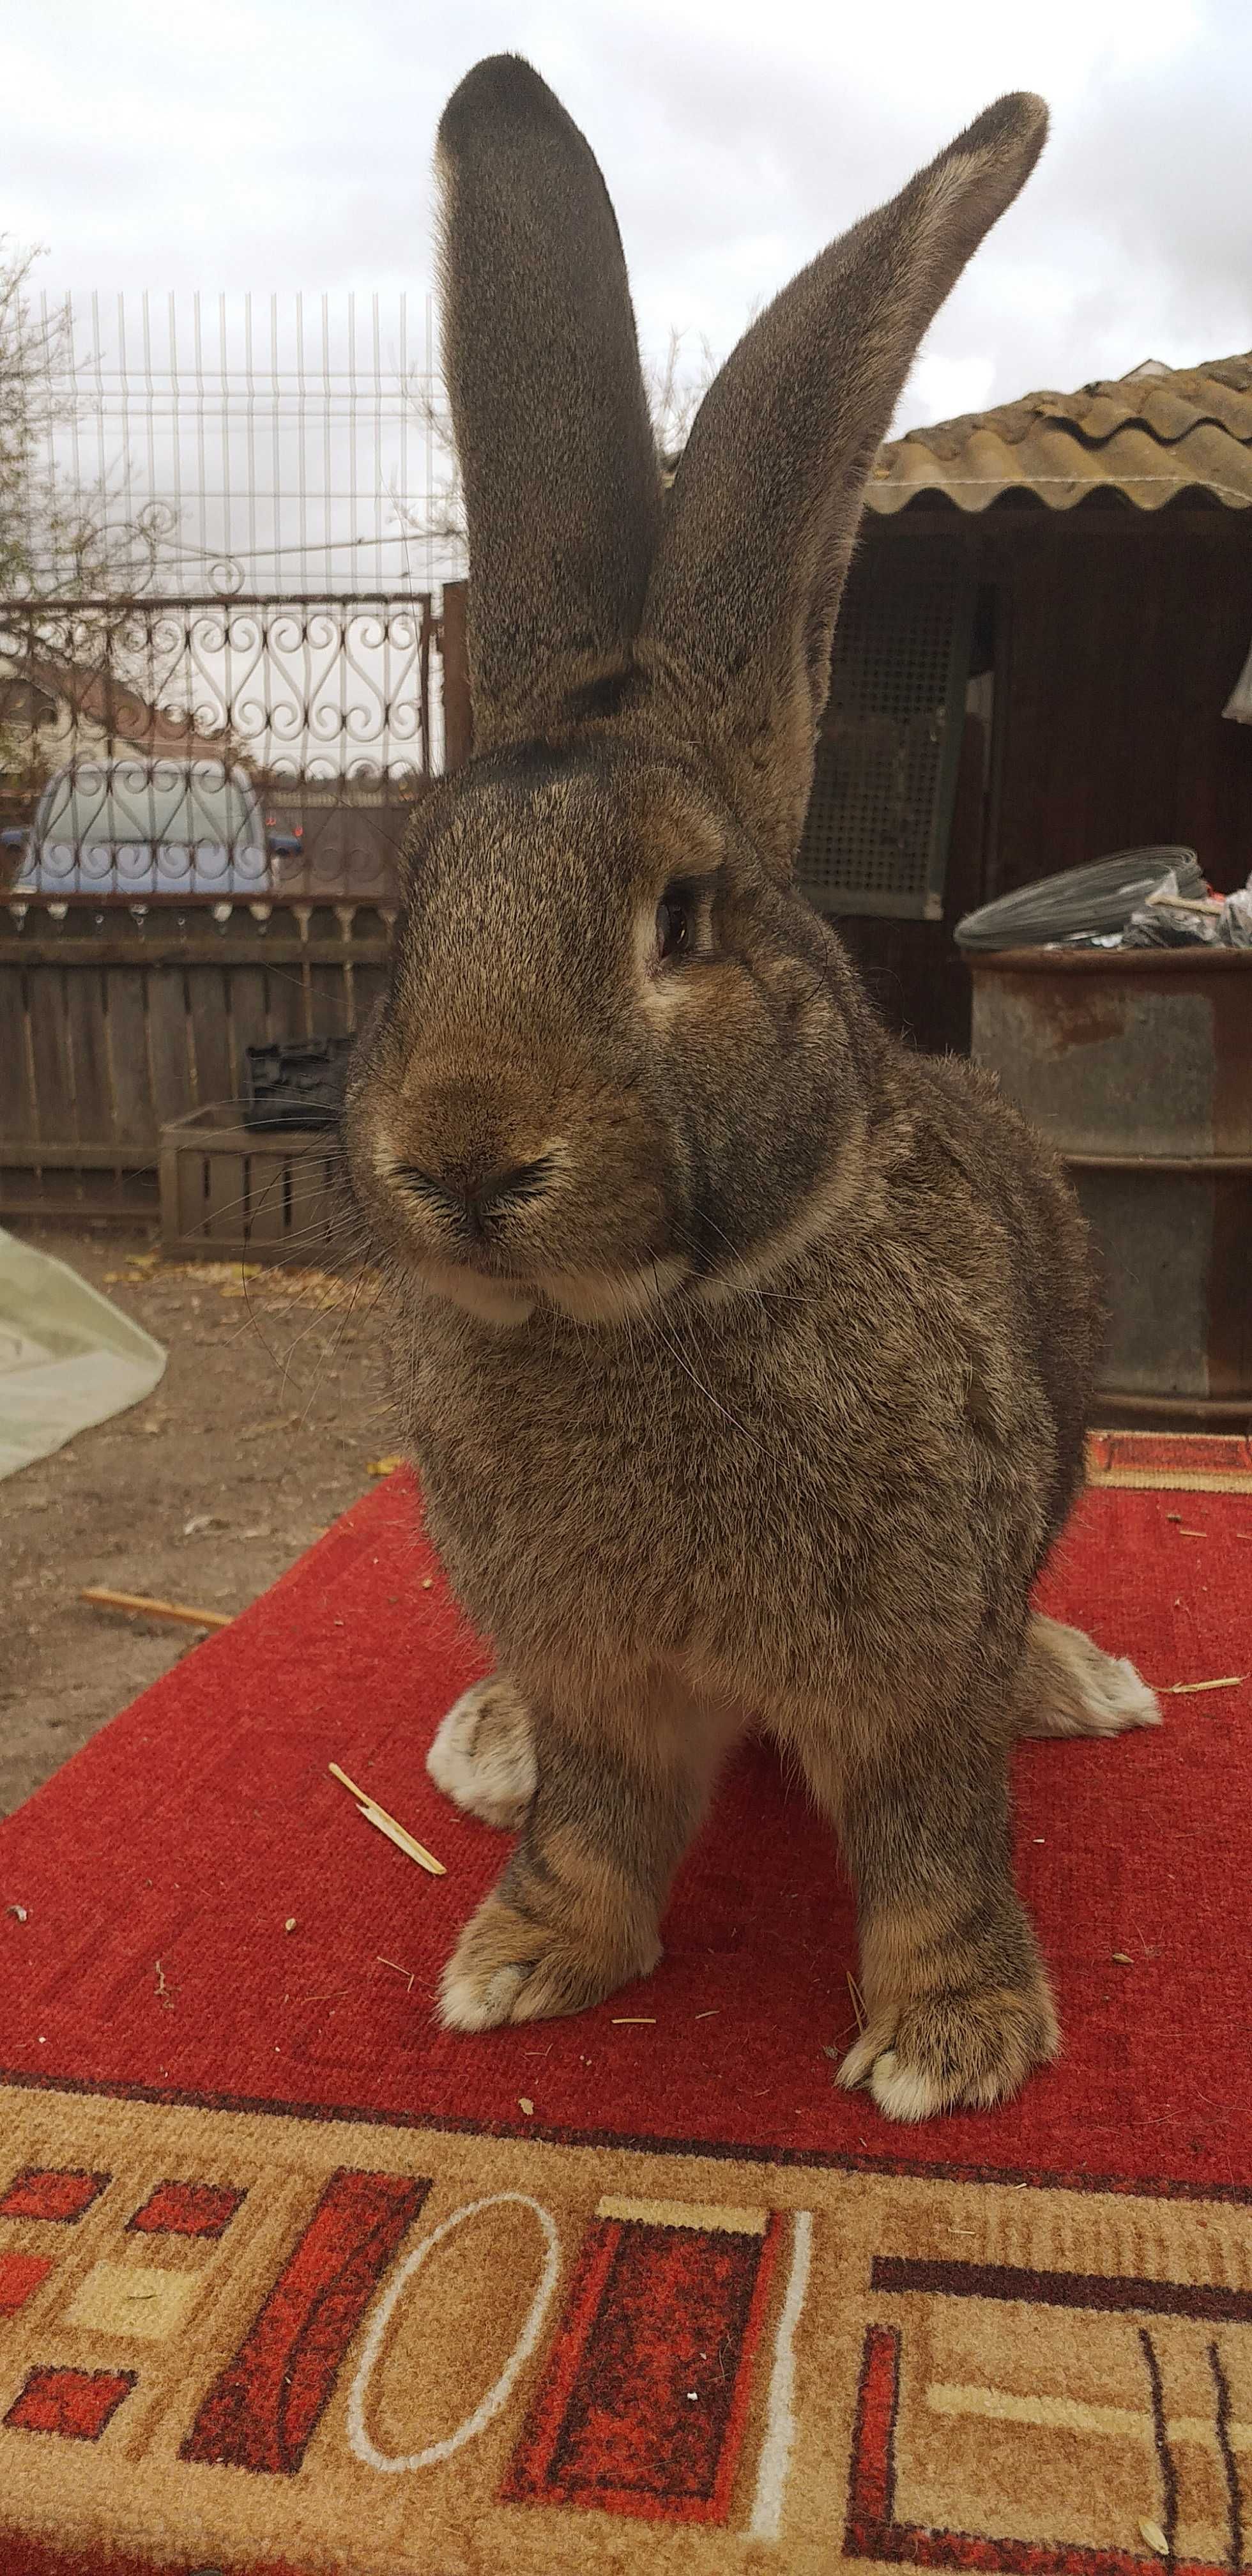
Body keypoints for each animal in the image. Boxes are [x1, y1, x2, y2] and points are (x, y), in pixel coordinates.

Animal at [337, 50, 1159, 2122]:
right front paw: (523, 1963)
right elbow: (595, 1825)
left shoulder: (914, 1665)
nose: (467, 1153)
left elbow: (935, 1845)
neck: (648, 1318)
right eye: (407, 911)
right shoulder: (595, 1682)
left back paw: (1078, 1686)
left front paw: (950, 2040)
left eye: (684, 920)